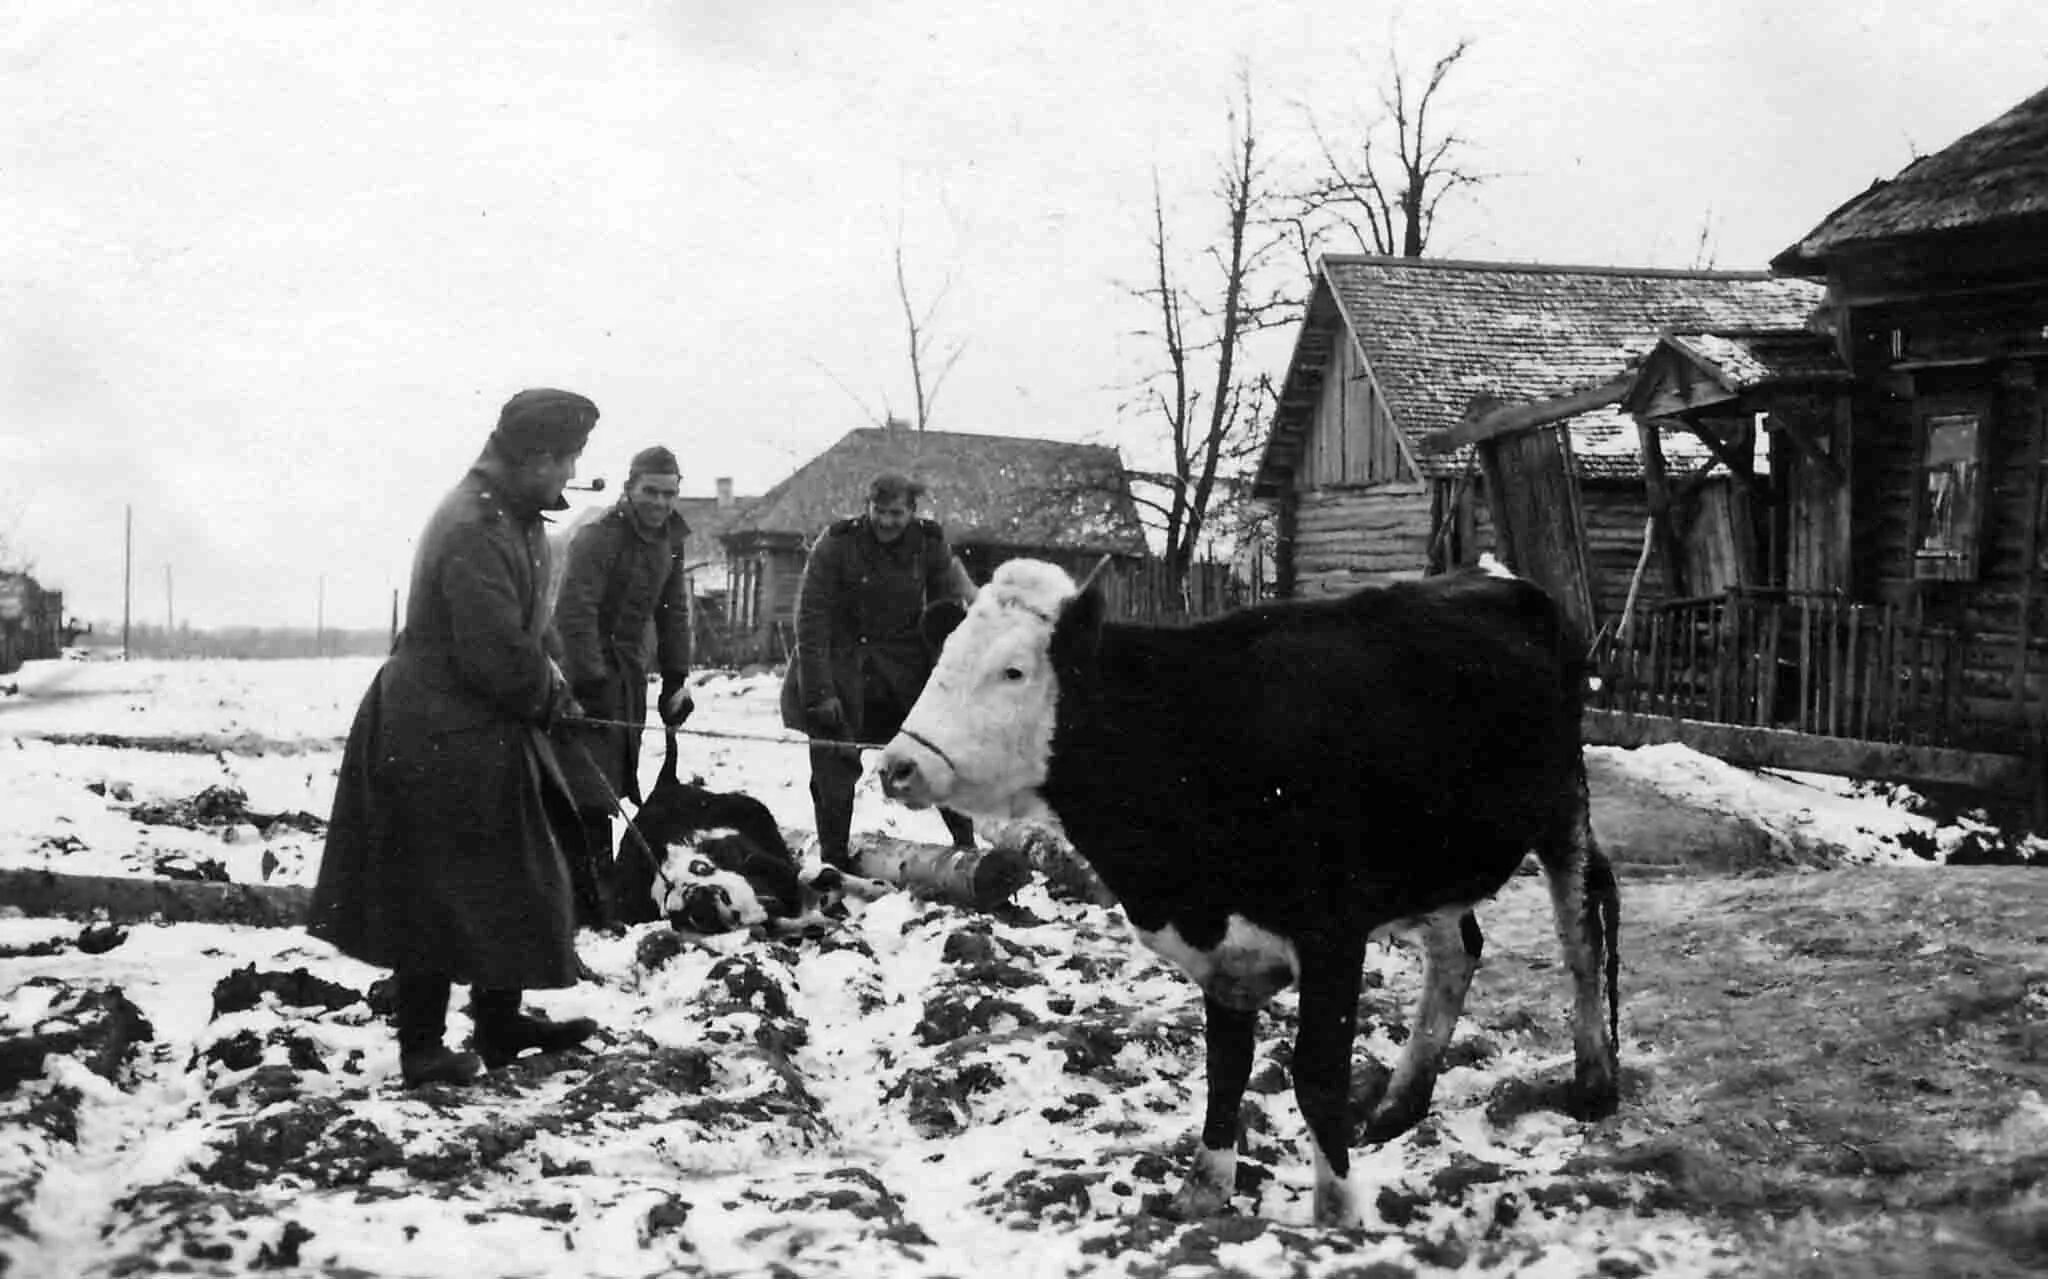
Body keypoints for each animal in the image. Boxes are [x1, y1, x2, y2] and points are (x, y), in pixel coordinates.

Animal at [876, 556, 1613, 1227]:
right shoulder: (1224, 952)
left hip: (1562, 803)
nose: (895, 765)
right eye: (943, 656)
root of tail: (1498, 578)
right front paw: (1203, 1190)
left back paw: (1594, 1080)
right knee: (1458, 949)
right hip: (1428, 860)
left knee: (1584, 923)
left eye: (1014, 671)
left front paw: (1337, 1211)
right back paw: (1400, 1103)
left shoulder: (1332, 932)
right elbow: (1224, 1068)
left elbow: (1316, 1075)